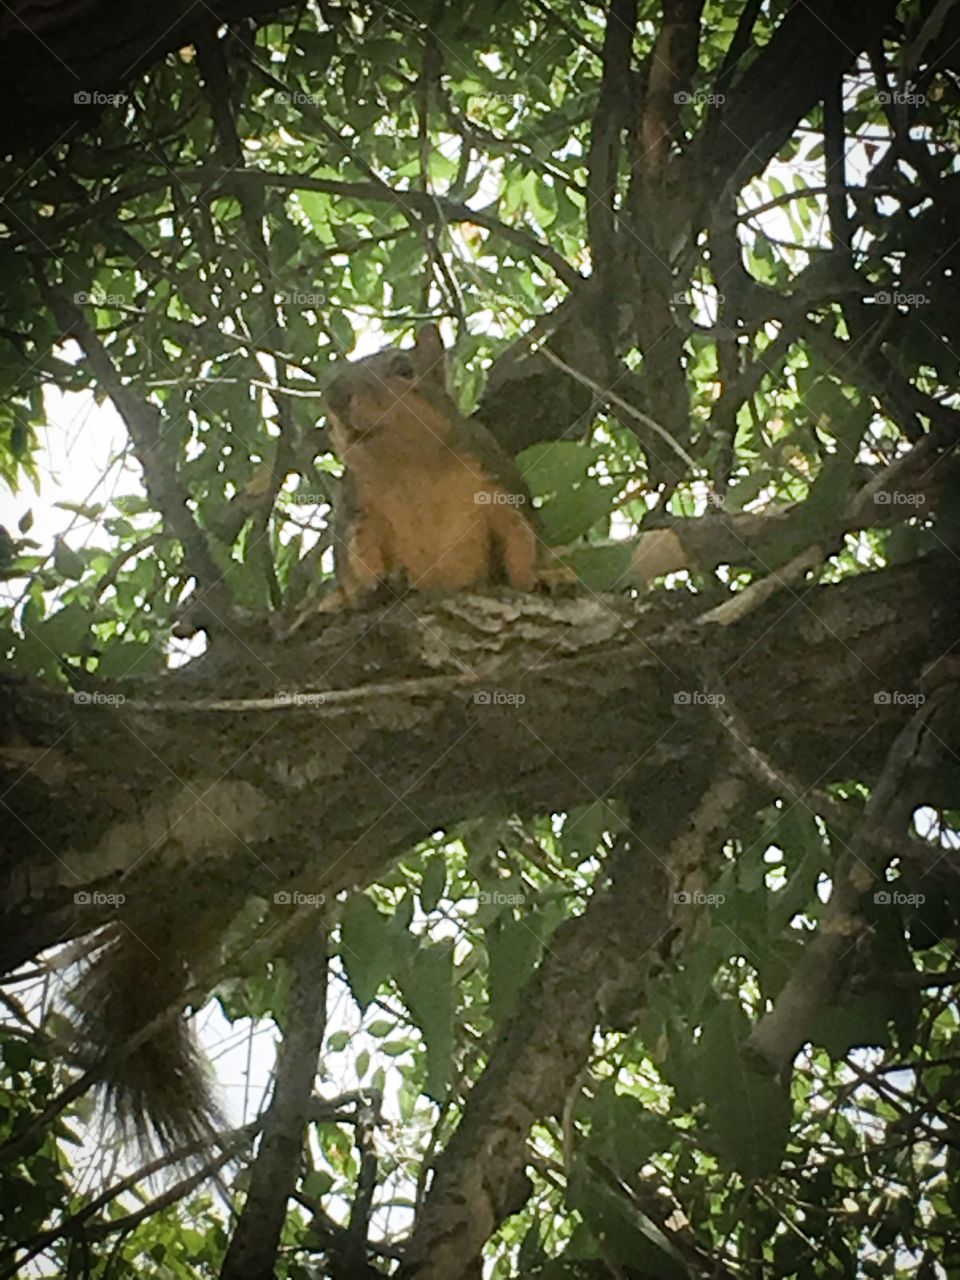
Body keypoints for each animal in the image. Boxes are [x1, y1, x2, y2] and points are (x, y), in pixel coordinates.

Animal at [64, 323, 555, 1158]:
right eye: (331, 374)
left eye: (403, 366)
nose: (333, 395)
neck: (410, 472)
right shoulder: (356, 517)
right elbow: (357, 565)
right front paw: (364, 594)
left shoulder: (499, 479)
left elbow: (523, 545)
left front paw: (551, 579)